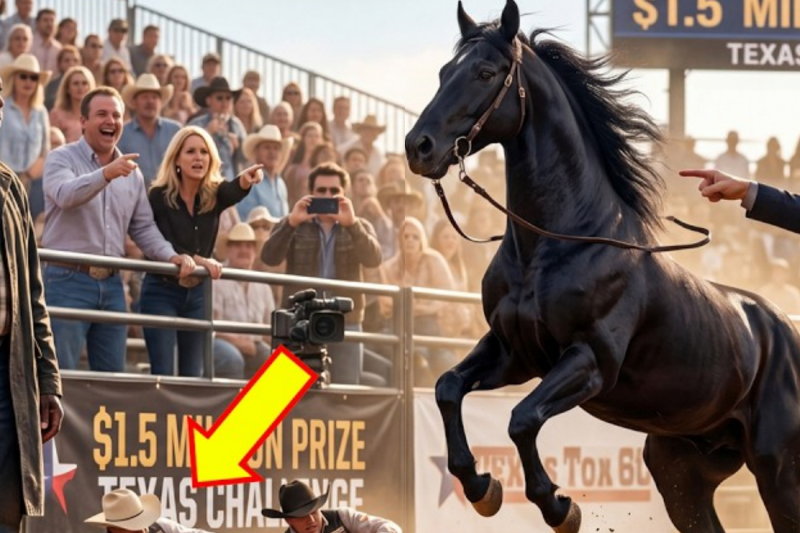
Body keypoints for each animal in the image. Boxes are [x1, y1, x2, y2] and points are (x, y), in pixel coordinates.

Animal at [405, 2, 800, 532]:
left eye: (485, 72)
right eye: (445, 72)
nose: (418, 147)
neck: (554, 247)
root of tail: (786, 332)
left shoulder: (590, 361)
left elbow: (522, 419)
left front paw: (558, 505)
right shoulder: (513, 353)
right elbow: (448, 388)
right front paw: (481, 486)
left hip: (779, 471)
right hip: (683, 472)